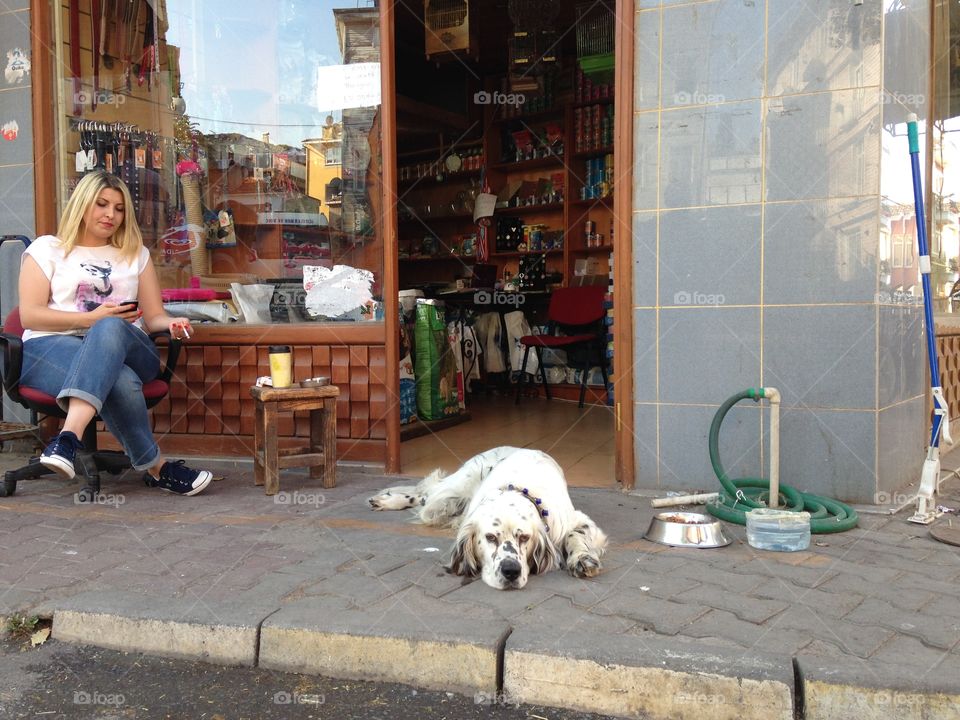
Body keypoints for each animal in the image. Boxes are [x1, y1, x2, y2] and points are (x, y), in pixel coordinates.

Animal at [368, 444, 608, 592]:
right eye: (490, 537)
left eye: (525, 538)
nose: (511, 571)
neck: (519, 489)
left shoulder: (577, 521)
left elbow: (577, 535)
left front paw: (583, 558)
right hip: (445, 498)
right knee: (424, 495)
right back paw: (386, 499)